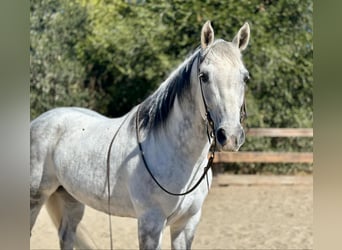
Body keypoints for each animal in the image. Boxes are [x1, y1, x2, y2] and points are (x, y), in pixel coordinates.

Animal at [30, 21, 250, 250]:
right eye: (204, 76)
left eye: (245, 77)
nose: (230, 136)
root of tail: (38, 121)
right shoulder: (150, 223)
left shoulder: (187, 223)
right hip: (34, 198)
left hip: (70, 198)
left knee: (66, 235)